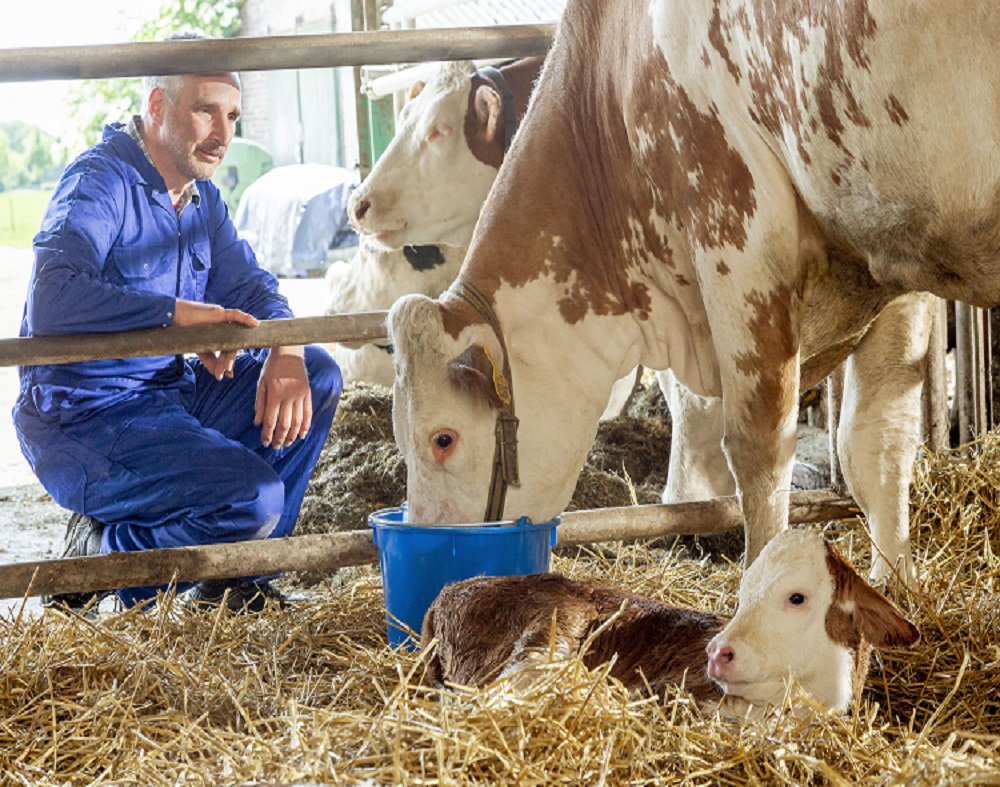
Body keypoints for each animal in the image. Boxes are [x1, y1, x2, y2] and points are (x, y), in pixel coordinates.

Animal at [388, 0, 989, 581]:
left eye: (442, 438)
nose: (431, 543)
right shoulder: (890, 253)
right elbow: (874, 441)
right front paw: (895, 585)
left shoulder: (735, 234)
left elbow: (759, 450)